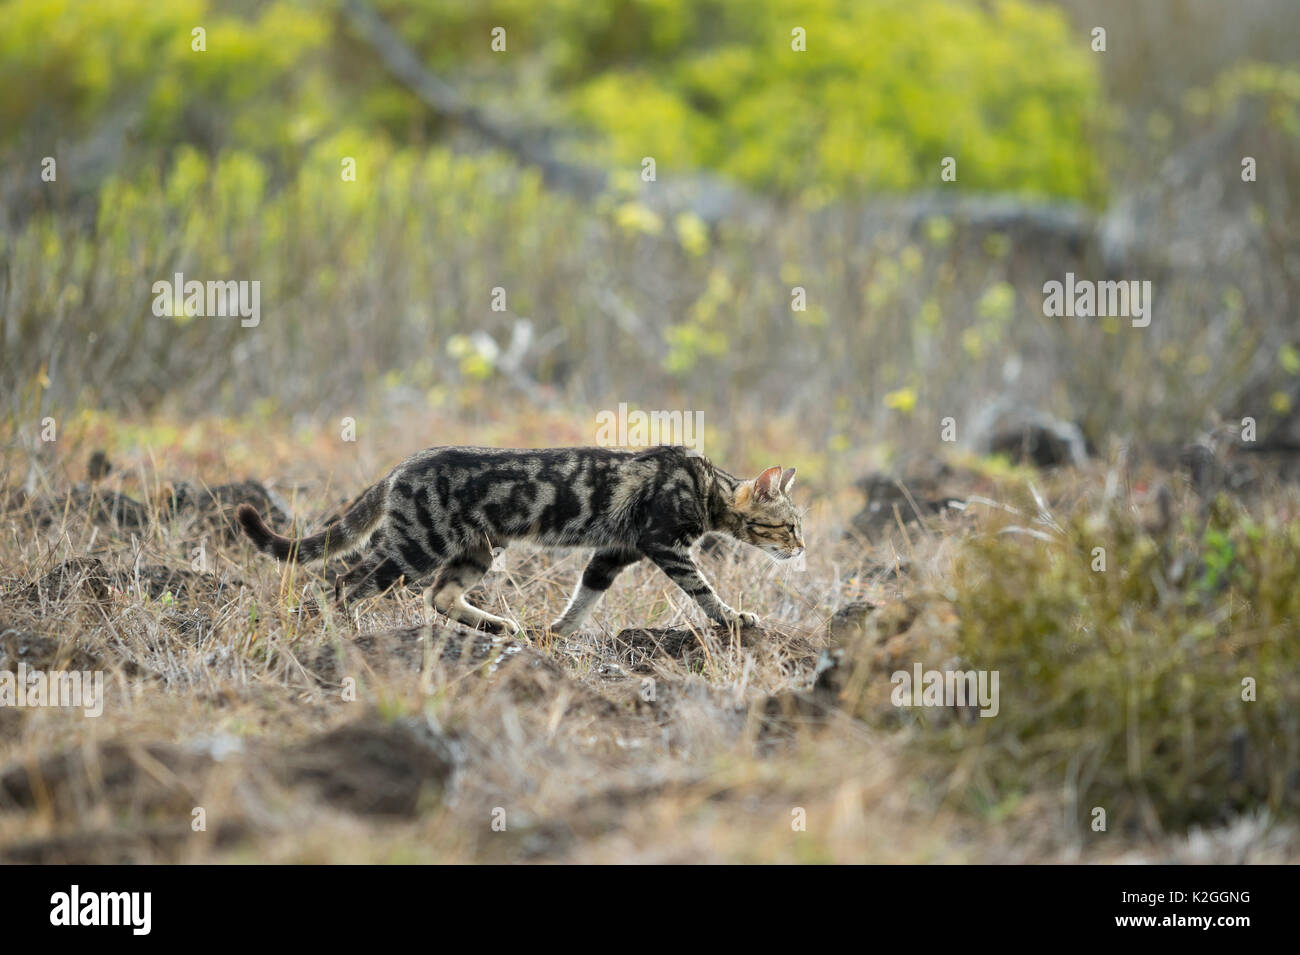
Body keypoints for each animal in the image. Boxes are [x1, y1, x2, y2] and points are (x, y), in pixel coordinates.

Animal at [236, 446, 800, 634]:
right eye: (792, 525)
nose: (801, 549)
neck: (706, 486)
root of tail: (400, 467)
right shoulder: (665, 545)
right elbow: (704, 590)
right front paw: (734, 618)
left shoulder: (614, 552)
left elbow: (584, 596)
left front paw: (558, 631)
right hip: (417, 546)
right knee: (346, 580)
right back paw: (344, 629)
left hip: (476, 550)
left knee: (439, 596)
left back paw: (499, 627)